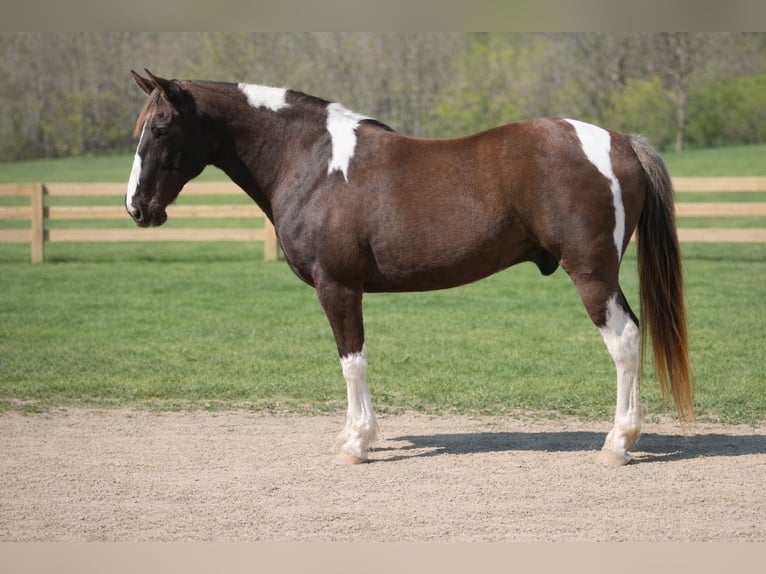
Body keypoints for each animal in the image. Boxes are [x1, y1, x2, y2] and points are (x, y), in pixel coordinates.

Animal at [125, 69, 693, 466]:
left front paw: (357, 443)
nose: (137, 208)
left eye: (162, 127)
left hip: (592, 274)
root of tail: (619, 140)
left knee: (624, 340)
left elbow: (352, 360)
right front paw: (351, 434)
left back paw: (617, 444)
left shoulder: (338, 287)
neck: (311, 162)